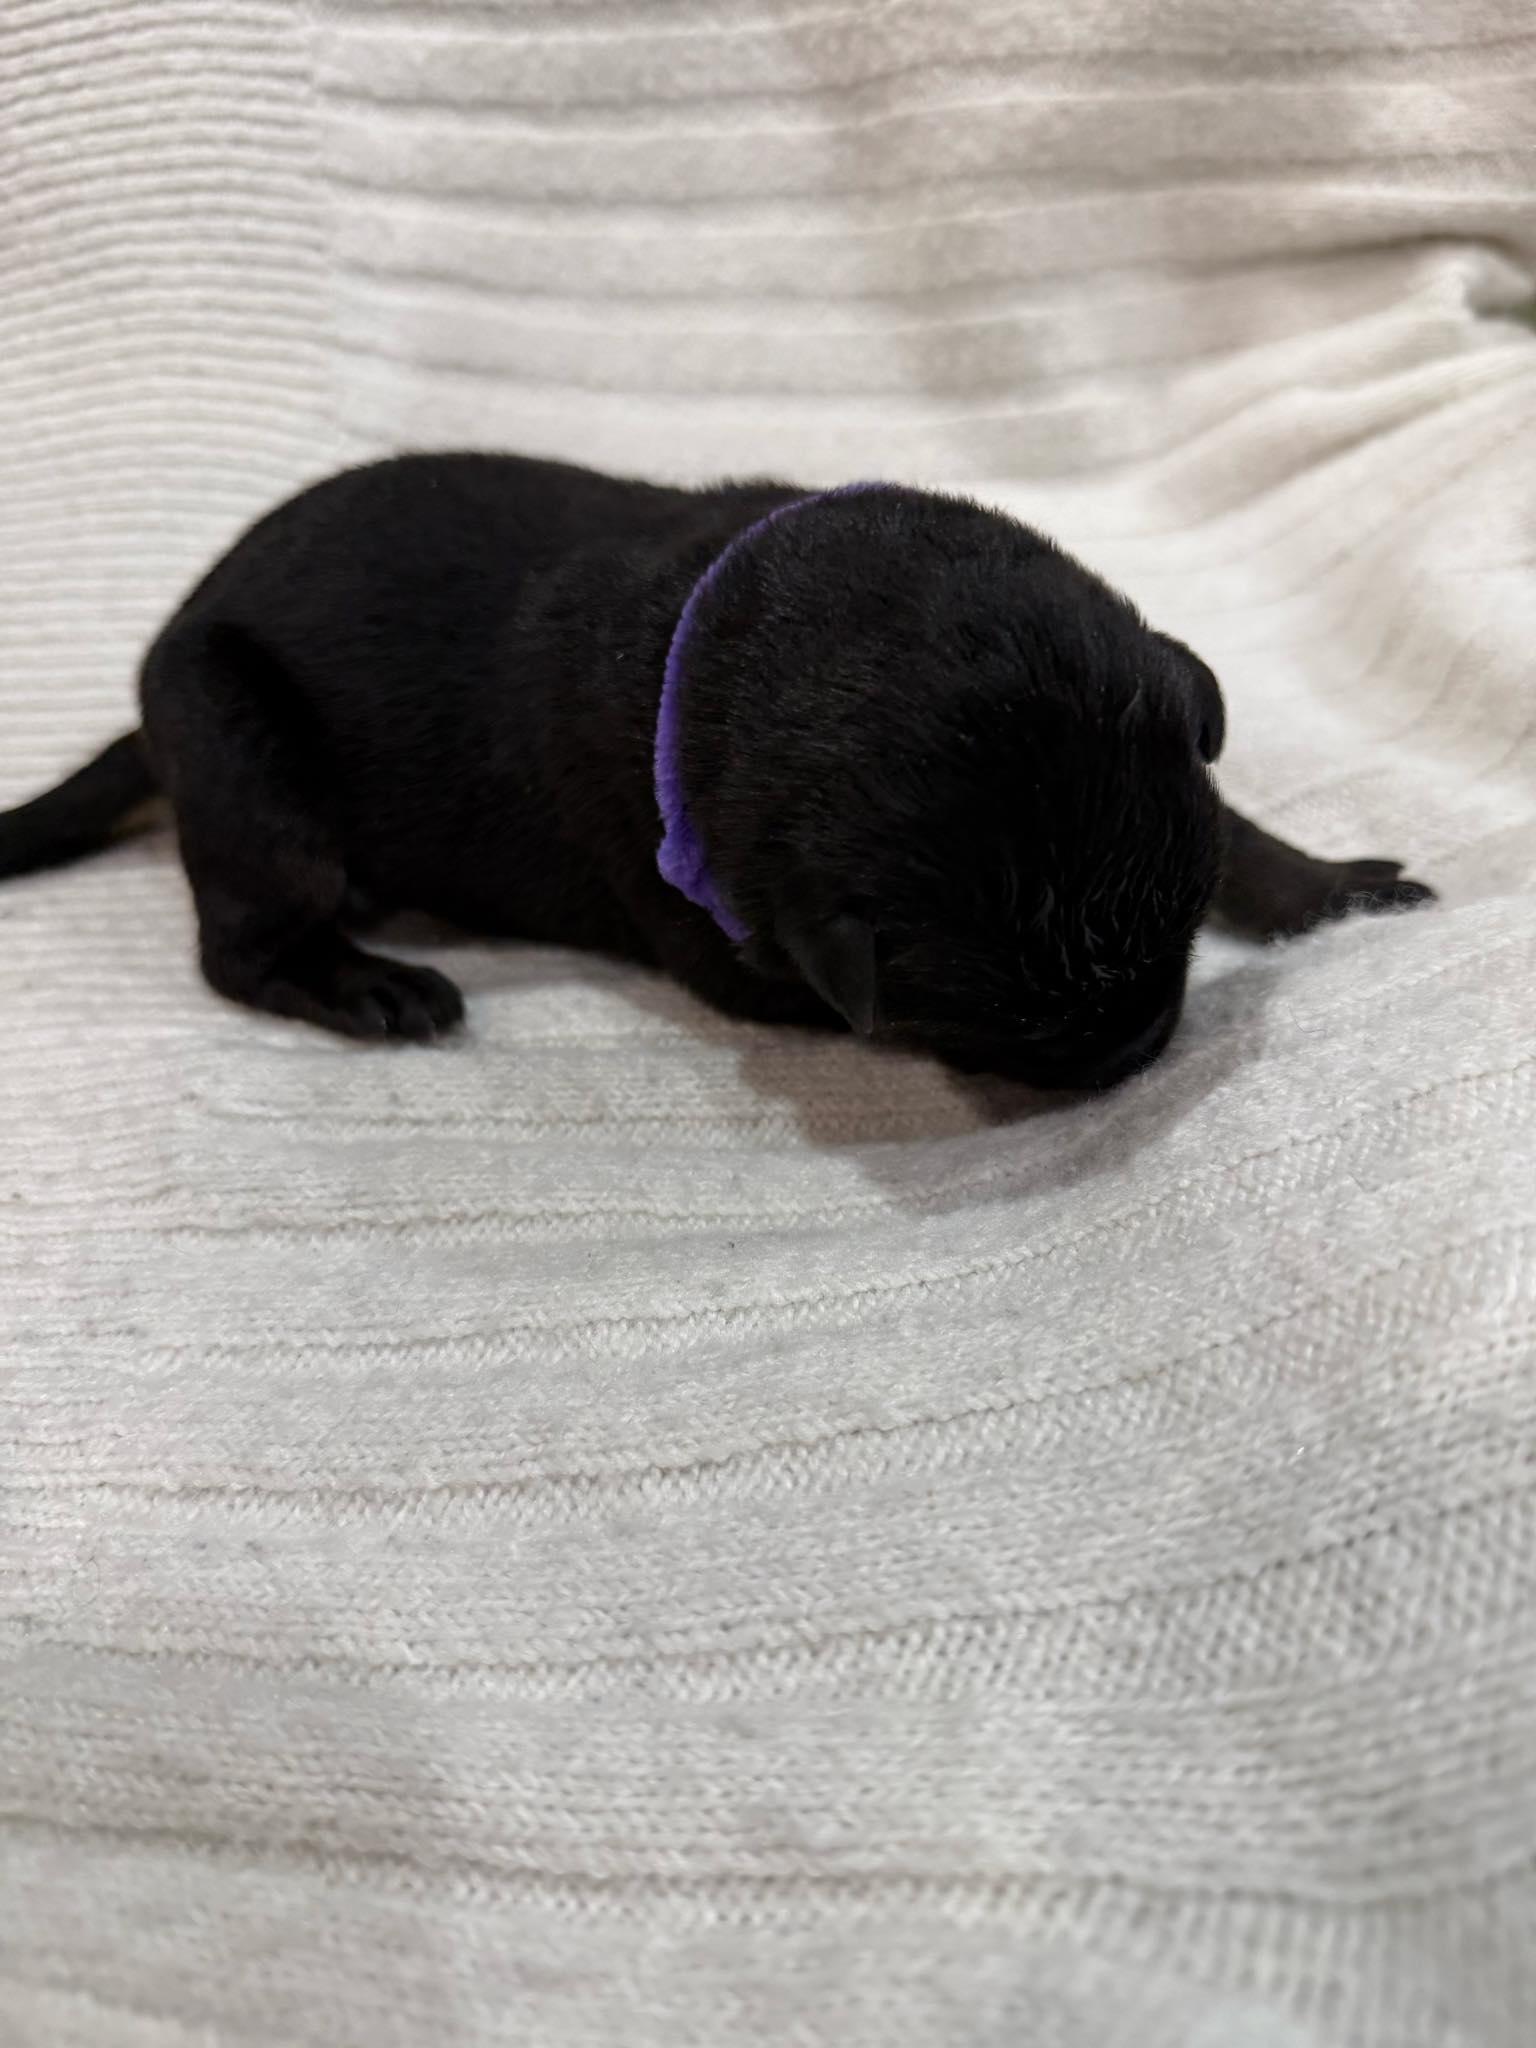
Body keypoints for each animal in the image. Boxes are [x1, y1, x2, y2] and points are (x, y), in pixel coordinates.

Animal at [0, 454, 1433, 1089]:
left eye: (1182, 935)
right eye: (1008, 1027)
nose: (1139, 1043)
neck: (713, 624)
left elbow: (1234, 820)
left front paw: (1326, 887)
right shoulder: (726, 948)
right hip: (242, 756)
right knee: (240, 946)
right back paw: (368, 982)